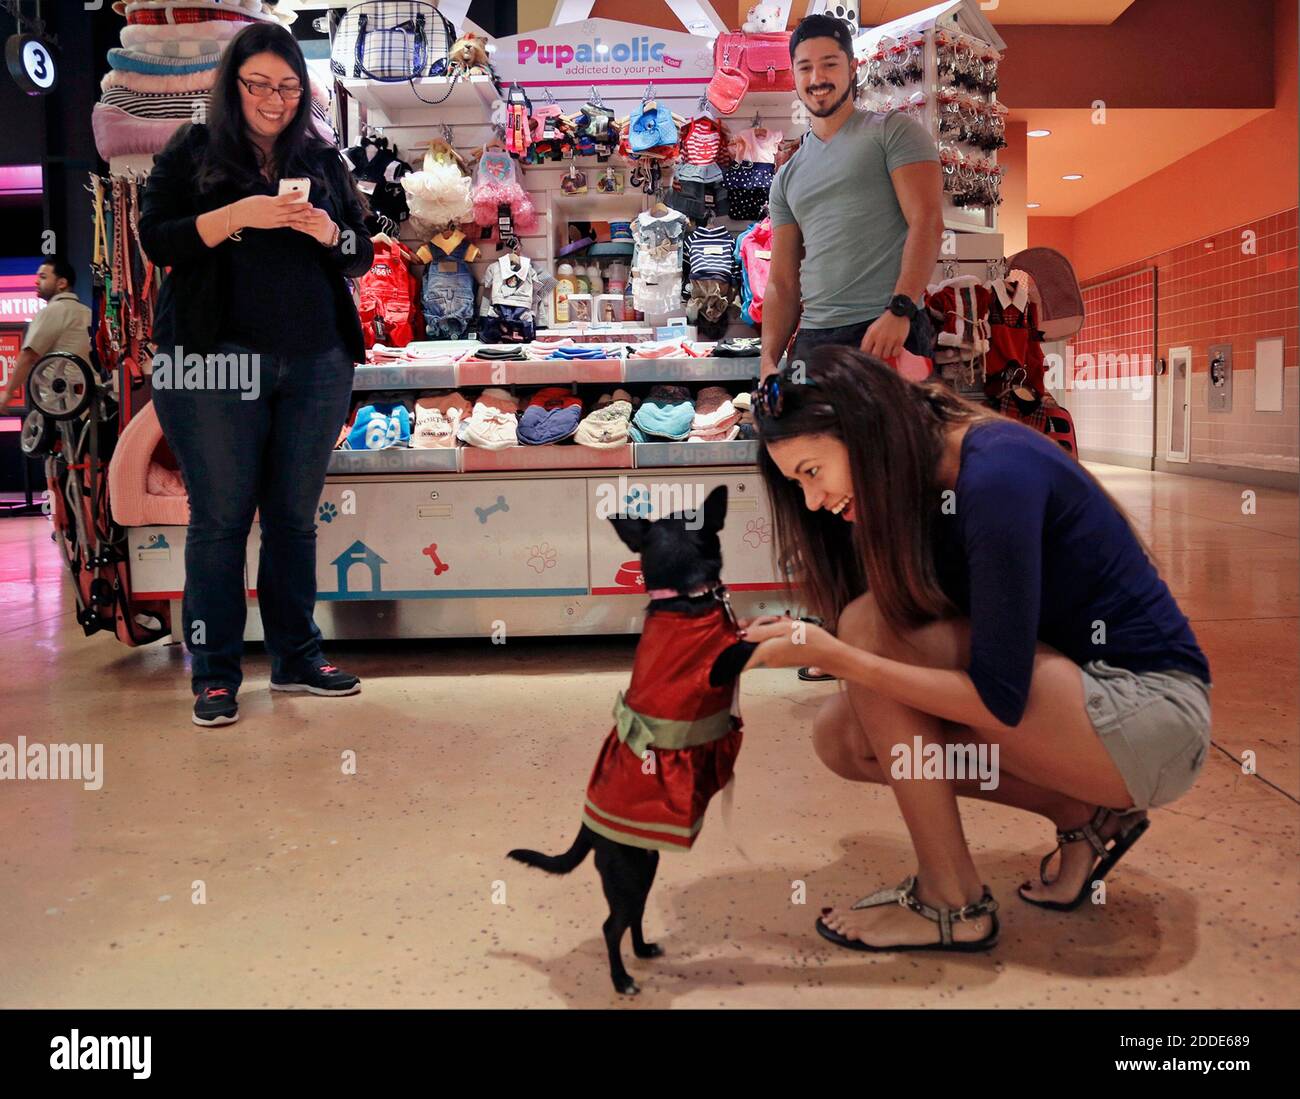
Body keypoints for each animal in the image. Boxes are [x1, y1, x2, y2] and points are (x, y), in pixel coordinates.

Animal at [504, 483, 759, 988]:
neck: (683, 595)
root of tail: (588, 828)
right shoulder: (722, 662)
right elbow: (749, 645)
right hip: (628, 872)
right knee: (611, 926)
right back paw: (621, 979)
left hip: (644, 865)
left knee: (634, 918)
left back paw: (643, 951)